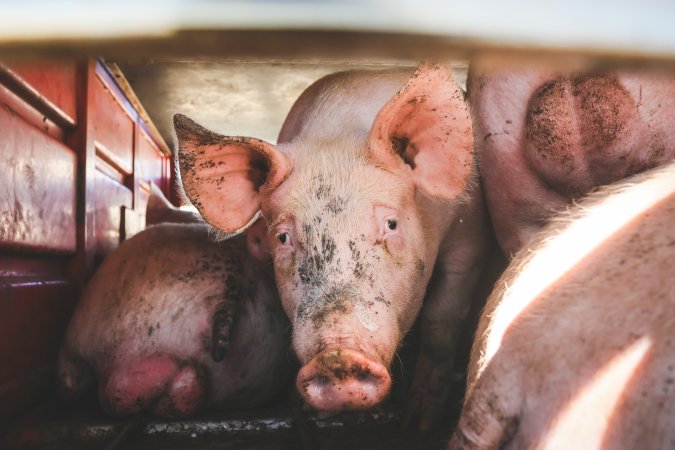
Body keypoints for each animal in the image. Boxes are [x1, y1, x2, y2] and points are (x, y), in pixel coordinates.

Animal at [174, 63, 492, 428]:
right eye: (283, 237)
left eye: (391, 224)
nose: (338, 356)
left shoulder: (470, 235)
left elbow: (441, 323)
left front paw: (419, 422)